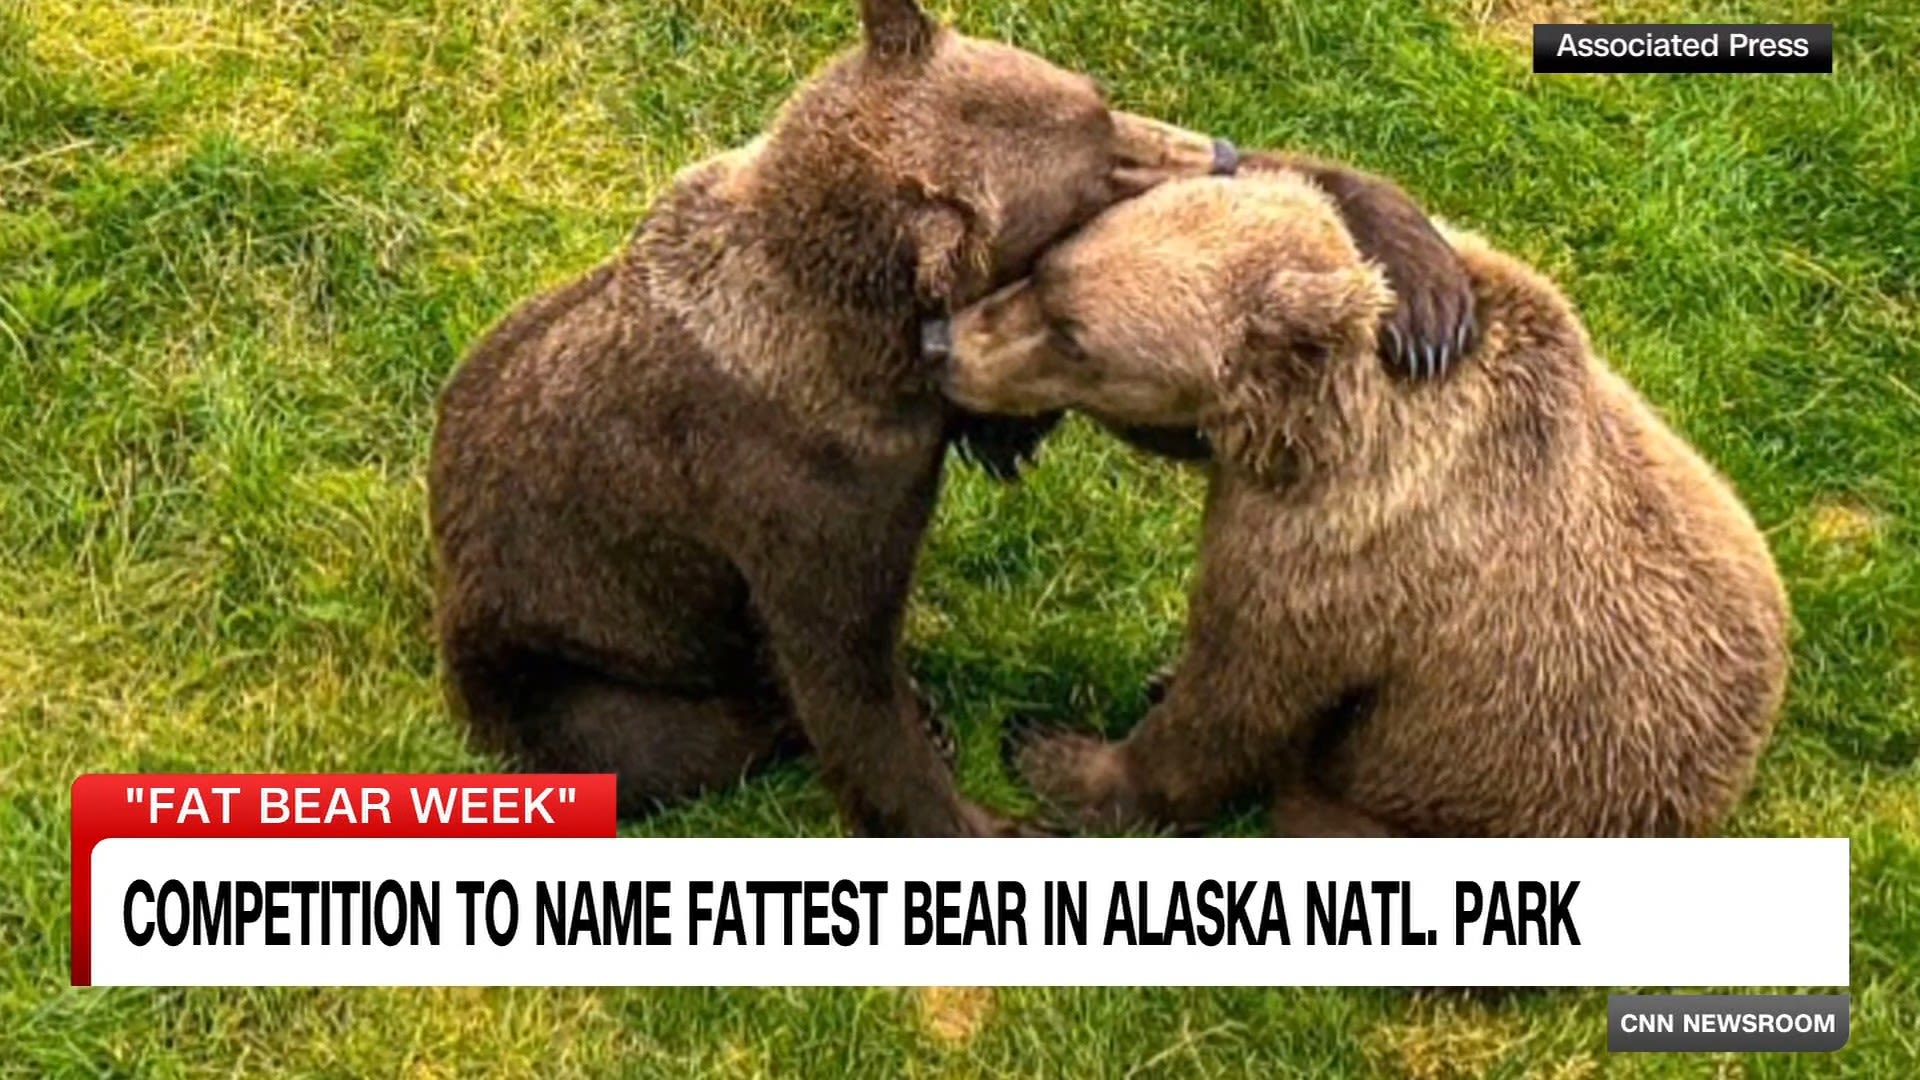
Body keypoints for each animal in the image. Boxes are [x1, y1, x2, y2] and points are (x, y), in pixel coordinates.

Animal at [427, 0, 1478, 837]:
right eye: (1087, 176)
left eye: (1097, 97)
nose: (1214, 154)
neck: (869, 354)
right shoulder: (798, 496)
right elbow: (843, 674)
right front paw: (985, 817)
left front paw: (1419, 281)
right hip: (564, 660)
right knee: (665, 738)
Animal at [939, 170, 1791, 837]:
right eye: (1047, 269)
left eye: (1074, 336)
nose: (945, 345)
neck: (1324, 439)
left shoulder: (1344, 568)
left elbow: (1234, 702)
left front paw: (1051, 751)